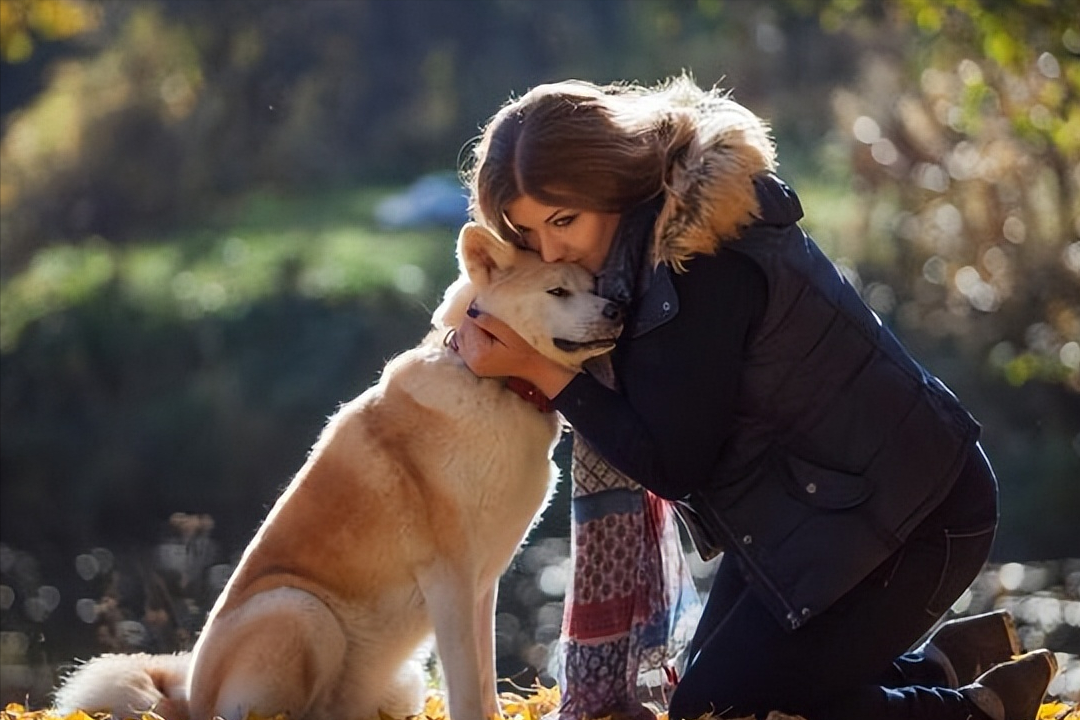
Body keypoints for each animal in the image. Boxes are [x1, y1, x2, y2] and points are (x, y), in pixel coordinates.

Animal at [52, 222, 626, 720]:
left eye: (593, 286)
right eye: (557, 291)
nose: (618, 308)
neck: (495, 384)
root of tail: (185, 700)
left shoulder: (483, 584)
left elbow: (484, 678)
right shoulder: (451, 580)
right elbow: (466, 686)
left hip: (394, 678)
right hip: (301, 611)